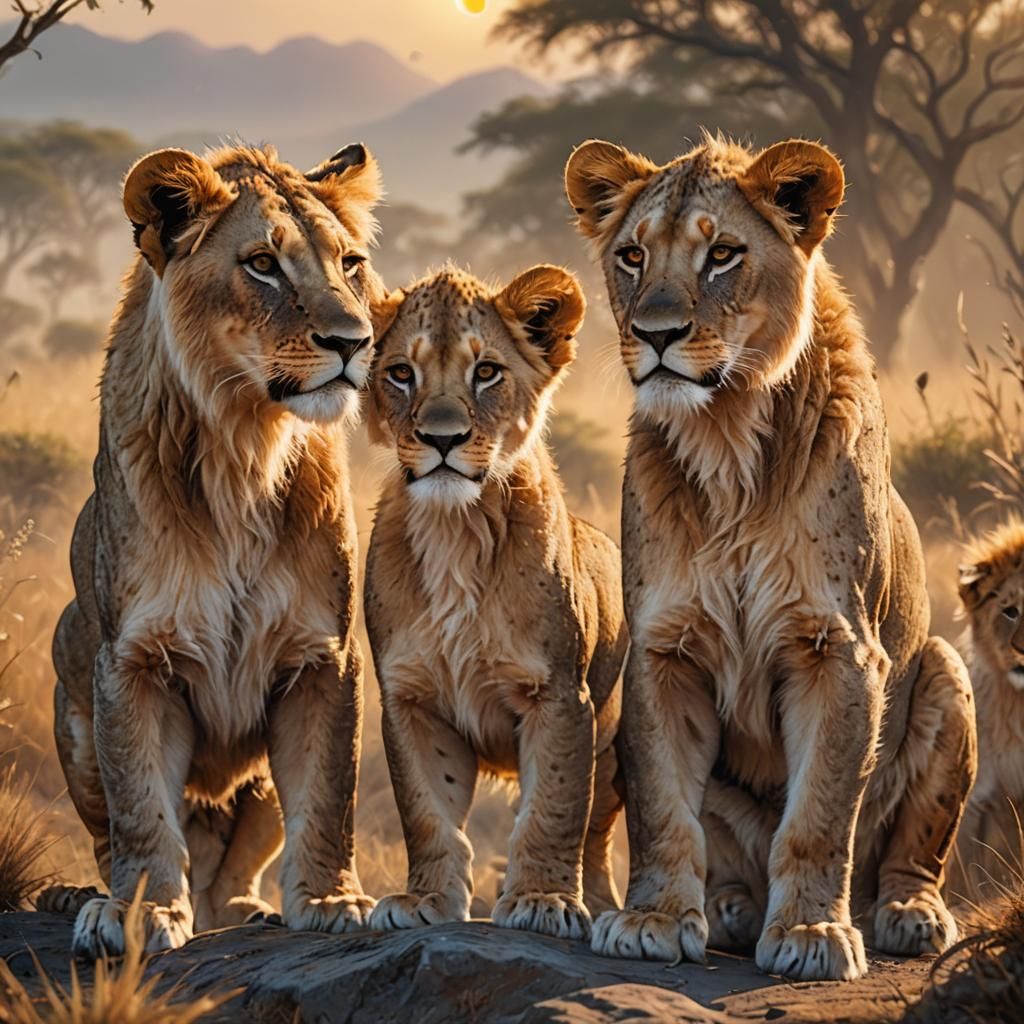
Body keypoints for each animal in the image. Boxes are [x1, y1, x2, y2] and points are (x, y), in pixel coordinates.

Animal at [39, 142, 386, 957]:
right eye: (262, 264)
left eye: (350, 263)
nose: (355, 342)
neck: (244, 445)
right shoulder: (129, 659)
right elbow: (141, 807)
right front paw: (140, 912)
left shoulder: (324, 657)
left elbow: (329, 790)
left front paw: (331, 900)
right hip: (69, 681)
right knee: (110, 838)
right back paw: (78, 896)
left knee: (232, 873)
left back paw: (250, 910)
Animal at [362, 264, 628, 939]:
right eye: (400, 373)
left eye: (486, 372)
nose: (442, 439)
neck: (456, 529)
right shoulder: (412, 699)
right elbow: (427, 814)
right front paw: (425, 901)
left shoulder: (559, 697)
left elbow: (553, 807)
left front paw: (542, 901)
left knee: (600, 828)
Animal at [563, 135, 977, 981]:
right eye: (631, 256)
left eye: (721, 253)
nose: (655, 334)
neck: (726, 439)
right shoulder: (661, 650)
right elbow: (662, 805)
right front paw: (656, 918)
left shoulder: (839, 648)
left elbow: (820, 811)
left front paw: (813, 932)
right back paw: (729, 908)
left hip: (947, 671)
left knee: (911, 854)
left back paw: (907, 915)